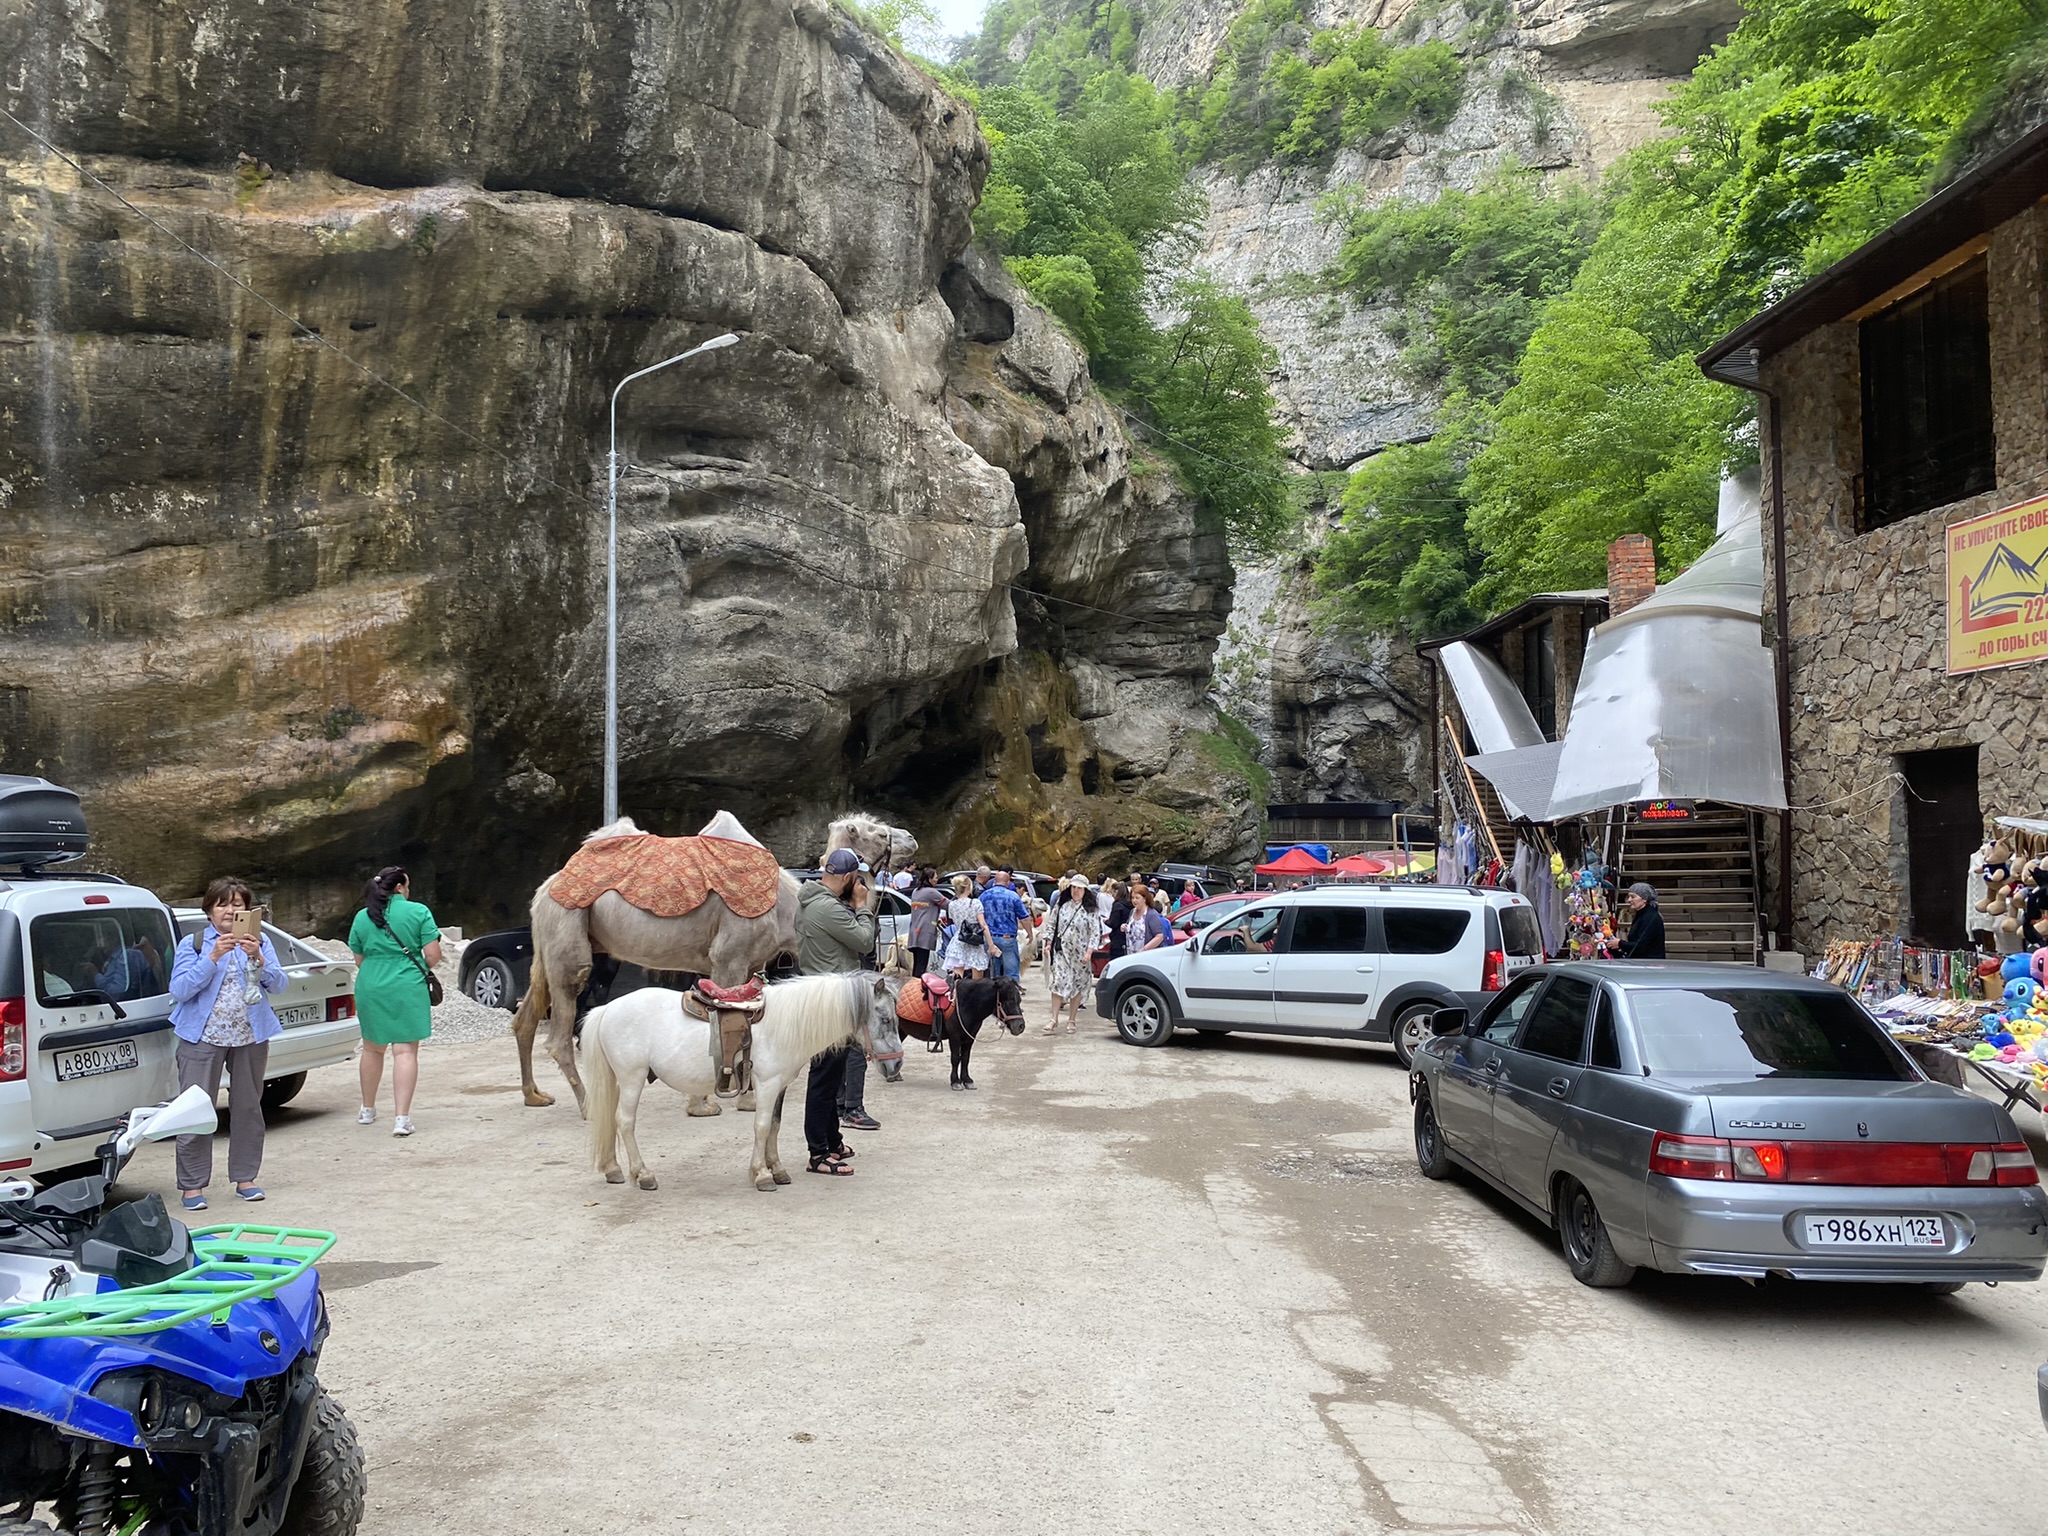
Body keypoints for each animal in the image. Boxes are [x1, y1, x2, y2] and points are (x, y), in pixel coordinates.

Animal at [577, 978, 897, 1196]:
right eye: (885, 1019)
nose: (895, 1066)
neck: (786, 1023)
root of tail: (606, 1008)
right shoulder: (766, 1085)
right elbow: (762, 1127)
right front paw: (762, 1175)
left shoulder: (779, 1086)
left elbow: (775, 1126)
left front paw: (777, 1169)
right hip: (632, 1078)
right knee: (624, 1122)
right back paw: (643, 1174)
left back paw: (613, 1169)